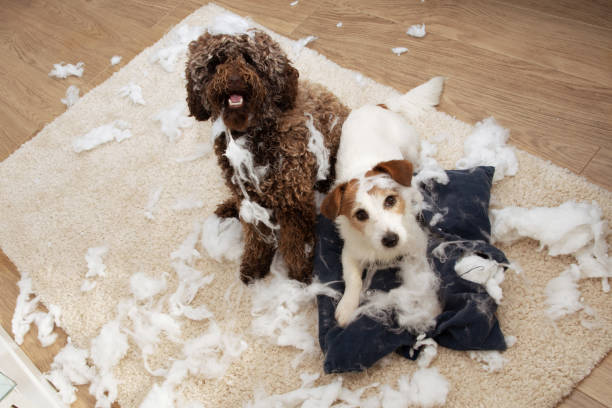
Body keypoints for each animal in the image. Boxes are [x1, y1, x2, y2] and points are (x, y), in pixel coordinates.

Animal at [185, 27, 350, 284]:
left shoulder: (294, 202)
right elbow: (256, 239)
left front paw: (300, 274)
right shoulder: (250, 202)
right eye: (216, 61)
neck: (256, 134)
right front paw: (254, 265)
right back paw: (228, 207)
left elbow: (295, 243)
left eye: (250, 59)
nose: (234, 78)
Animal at [320, 78, 444, 330]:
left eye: (390, 200)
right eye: (360, 214)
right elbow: (353, 280)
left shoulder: (416, 246)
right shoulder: (350, 253)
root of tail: (378, 106)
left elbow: (419, 275)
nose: (391, 239)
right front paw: (347, 306)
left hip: (409, 149)